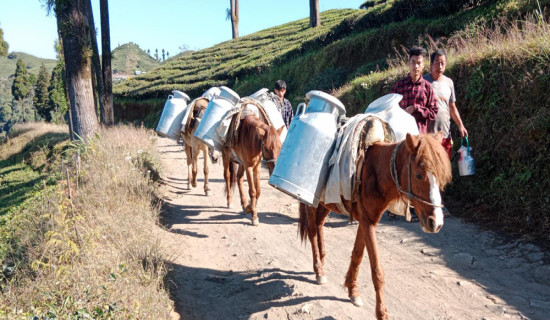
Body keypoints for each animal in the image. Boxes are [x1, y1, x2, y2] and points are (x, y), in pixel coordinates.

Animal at [302, 132, 452, 318]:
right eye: (418, 175)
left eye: (441, 176)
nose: (436, 223)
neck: (376, 171)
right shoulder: (367, 222)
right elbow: (377, 271)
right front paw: (381, 313)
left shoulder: (367, 220)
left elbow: (357, 254)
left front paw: (353, 291)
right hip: (311, 202)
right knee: (312, 230)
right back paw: (319, 270)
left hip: (326, 203)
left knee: (319, 224)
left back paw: (321, 261)